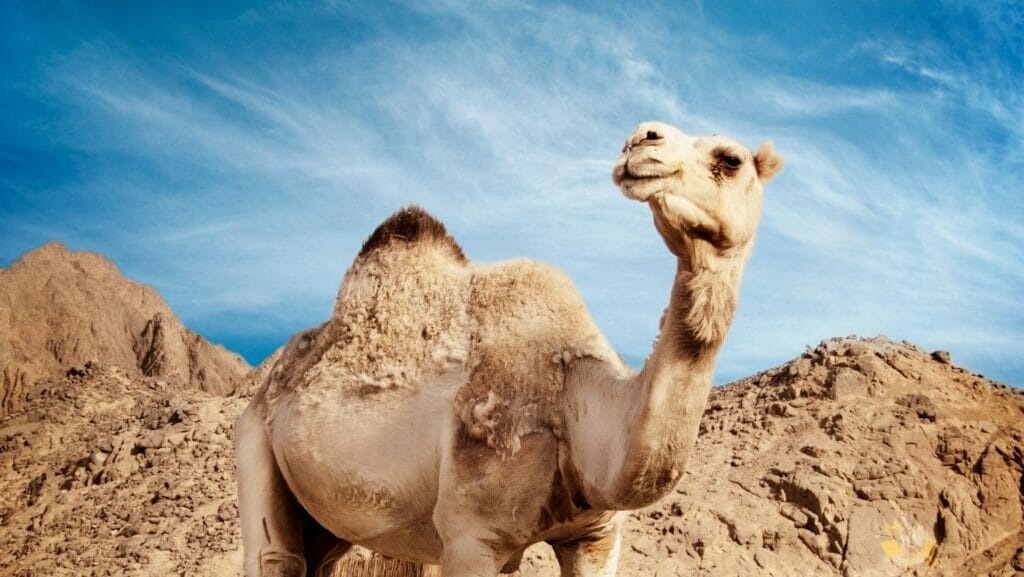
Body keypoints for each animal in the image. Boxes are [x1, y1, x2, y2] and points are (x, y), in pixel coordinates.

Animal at [235, 121, 783, 577]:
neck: (577, 406)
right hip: (254, 441)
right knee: (275, 556)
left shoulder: (596, 536)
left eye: (730, 159)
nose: (641, 139)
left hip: (326, 520)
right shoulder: (470, 536)